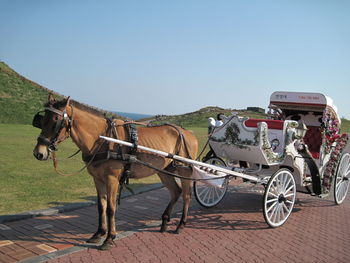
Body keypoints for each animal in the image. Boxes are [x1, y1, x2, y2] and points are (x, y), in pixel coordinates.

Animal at [33, 94, 198, 251]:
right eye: (42, 120)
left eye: (56, 121)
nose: (38, 153)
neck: (103, 139)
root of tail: (188, 133)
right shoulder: (97, 179)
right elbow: (101, 206)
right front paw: (99, 233)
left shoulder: (112, 179)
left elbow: (111, 208)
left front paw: (109, 238)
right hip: (164, 170)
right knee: (176, 192)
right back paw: (164, 221)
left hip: (184, 169)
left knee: (187, 195)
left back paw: (181, 224)